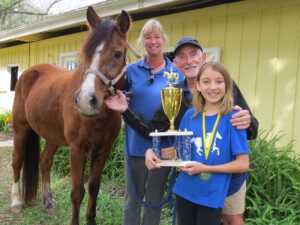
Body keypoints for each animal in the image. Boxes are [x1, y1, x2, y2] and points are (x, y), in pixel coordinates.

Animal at [10, 6, 130, 224]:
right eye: (86, 52)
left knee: (45, 162)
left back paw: (49, 202)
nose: (85, 101)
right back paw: (16, 202)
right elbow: (76, 193)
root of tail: (29, 72)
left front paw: (91, 219)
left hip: (52, 136)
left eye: (118, 54)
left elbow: (93, 188)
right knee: (17, 160)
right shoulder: (76, 149)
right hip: (21, 129)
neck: (99, 118)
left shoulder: (103, 151)